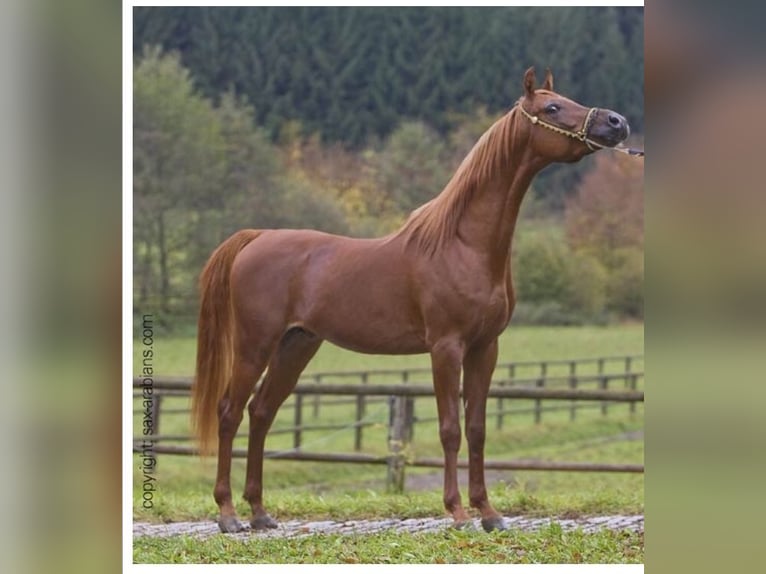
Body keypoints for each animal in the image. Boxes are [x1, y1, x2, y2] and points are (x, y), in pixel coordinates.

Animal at [192, 68, 632, 536]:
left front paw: (489, 513)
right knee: (229, 413)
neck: (464, 244)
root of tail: (255, 237)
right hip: (254, 346)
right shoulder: (446, 347)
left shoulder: (485, 347)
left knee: (261, 413)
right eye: (552, 107)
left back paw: (260, 512)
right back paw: (228, 515)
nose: (617, 122)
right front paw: (457, 512)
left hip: (296, 345)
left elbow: (477, 428)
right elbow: (449, 429)